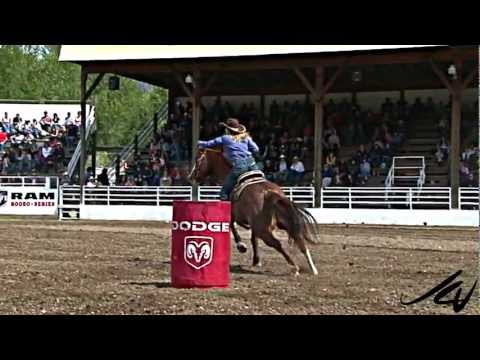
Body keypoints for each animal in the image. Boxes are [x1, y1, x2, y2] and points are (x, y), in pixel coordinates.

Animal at [189, 148, 320, 276]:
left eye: (197, 161)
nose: (191, 177)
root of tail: (269, 193)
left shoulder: (233, 215)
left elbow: (233, 226)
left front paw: (241, 246)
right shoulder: (253, 224)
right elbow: (253, 239)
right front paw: (256, 260)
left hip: (263, 229)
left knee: (277, 244)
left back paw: (294, 267)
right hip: (282, 223)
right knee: (300, 241)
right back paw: (313, 269)